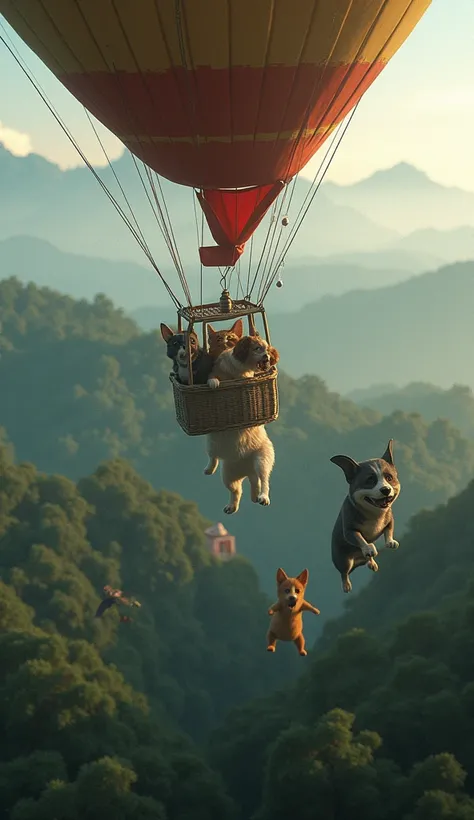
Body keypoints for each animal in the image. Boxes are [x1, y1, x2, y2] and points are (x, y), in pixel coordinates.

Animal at [330, 438, 400, 592]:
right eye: (370, 480)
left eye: (389, 478)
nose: (386, 489)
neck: (374, 513)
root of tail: (357, 559)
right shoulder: (349, 529)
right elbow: (359, 537)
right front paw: (367, 546)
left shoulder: (389, 519)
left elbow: (389, 530)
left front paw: (390, 541)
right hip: (342, 560)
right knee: (344, 572)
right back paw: (346, 584)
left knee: (369, 556)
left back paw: (371, 562)